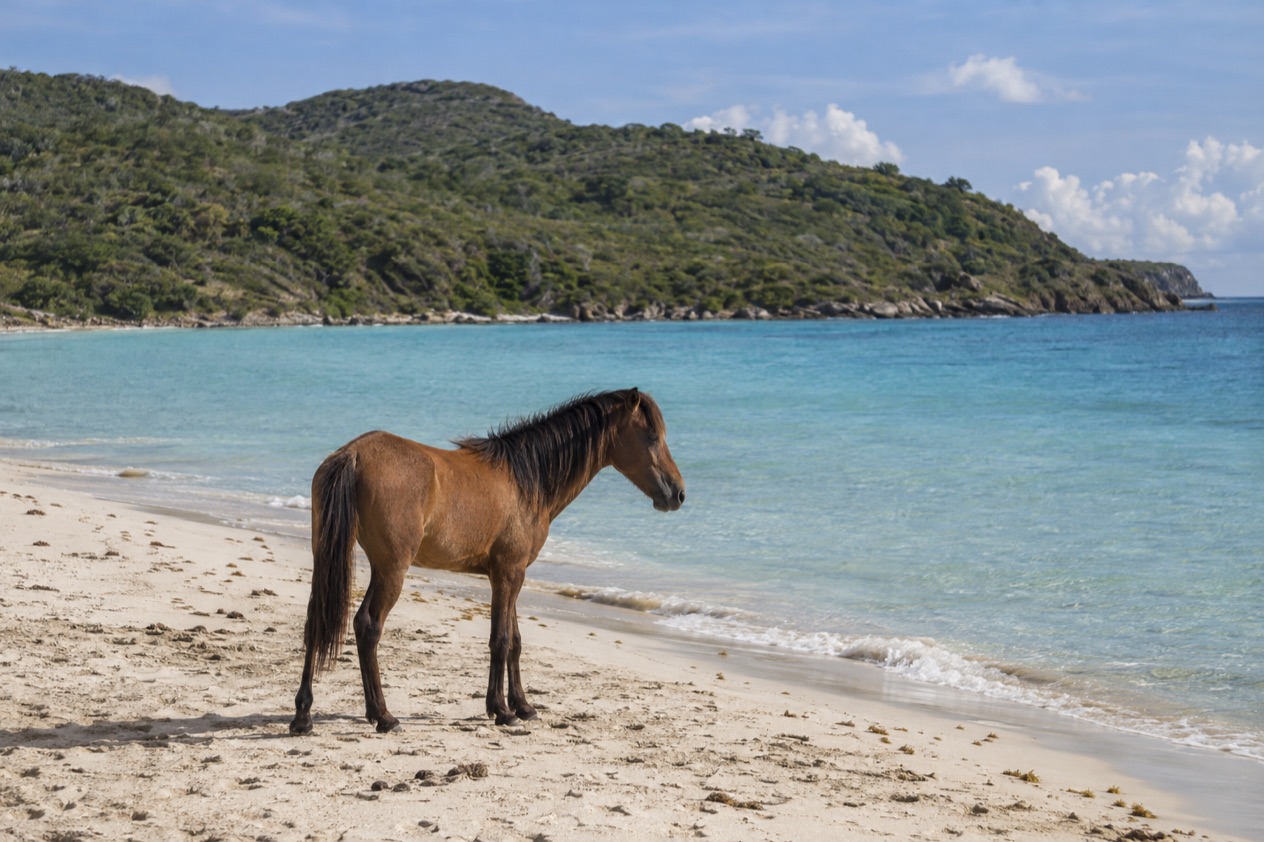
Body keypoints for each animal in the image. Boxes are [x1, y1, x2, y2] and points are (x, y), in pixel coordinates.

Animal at [289, 388, 685, 734]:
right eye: (652, 436)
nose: (677, 493)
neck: (527, 480)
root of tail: (353, 455)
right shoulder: (509, 573)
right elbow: (501, 638)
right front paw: (502, 710)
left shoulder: (510, 574)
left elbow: (515, 640)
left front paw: (523, 706)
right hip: (391, 569)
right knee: (368, 626)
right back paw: (384, 716)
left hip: (330, 557)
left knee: (316, 621)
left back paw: (304, 716)